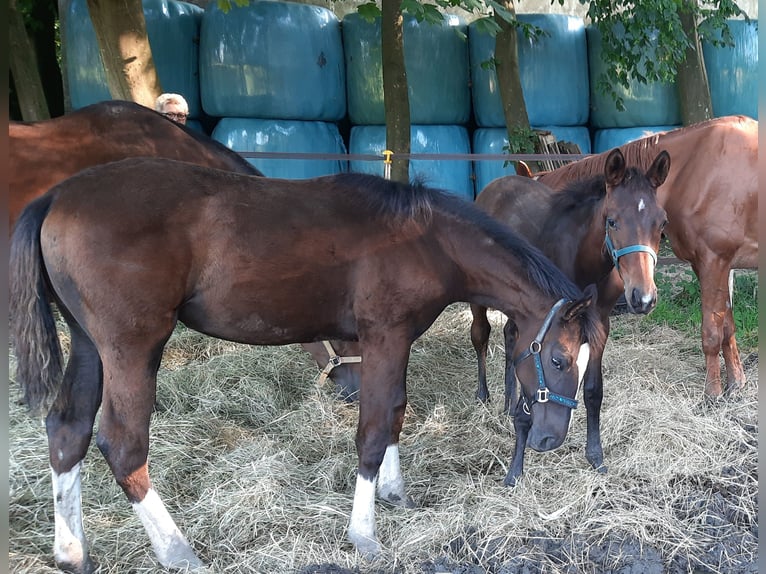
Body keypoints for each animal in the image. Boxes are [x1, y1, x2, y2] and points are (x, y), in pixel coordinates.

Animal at [9, 159, 604, 572]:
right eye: (556, 357)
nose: (551, 438)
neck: (425, 238)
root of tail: (57, 196)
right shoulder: (385, 336)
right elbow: (373, 427)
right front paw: (365, 534)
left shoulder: (385, 343)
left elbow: (393, 412)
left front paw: (394, 494)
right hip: (132, 347)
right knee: (122, 443)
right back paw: (177, 550)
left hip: (90, 345)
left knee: (68, 430)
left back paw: (73, 553)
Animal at [472, 148, 676, 486]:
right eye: (612, 220)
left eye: (662, 223)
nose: (643, 298)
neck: (583, 259)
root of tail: (495, 185)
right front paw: (515, 470)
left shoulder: (597, 324)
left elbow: (593, 390)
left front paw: (596, 456)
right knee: (481, 335)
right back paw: (484, 394)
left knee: (510, 336)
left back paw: (507, 400)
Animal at [536, 115, 760, 398]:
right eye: (611, 221)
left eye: (660, 223)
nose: (642, 299)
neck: (700, 169)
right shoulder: (715, 266)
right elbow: (727, 327)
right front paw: (735, 384)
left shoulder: (714, 262)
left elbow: (711, 333)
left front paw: (712, 394)